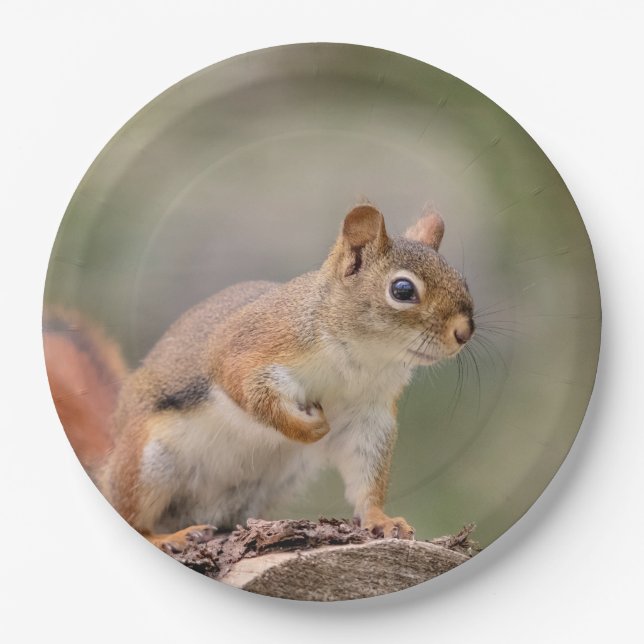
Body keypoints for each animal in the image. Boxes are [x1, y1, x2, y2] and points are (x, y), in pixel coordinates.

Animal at [44, 203, 474, 551]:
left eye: (462, 280)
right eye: (402, 290)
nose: (464, 332)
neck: (361, 359)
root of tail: (109, 463)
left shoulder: (369, 414)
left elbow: (366, 472)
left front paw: (380, 520)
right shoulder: (251, 347)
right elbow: (248, 391)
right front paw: (307, 429)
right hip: (148, 463)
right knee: (133, 518)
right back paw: (166, 537)